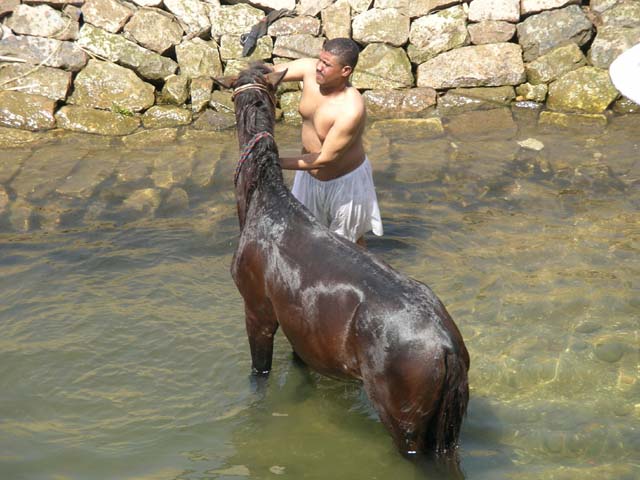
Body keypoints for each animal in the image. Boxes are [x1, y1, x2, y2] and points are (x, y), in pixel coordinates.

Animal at [215, 62, 470, 474]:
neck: (266, 203)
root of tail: (445, 345)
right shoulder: (301, 326)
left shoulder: (257, 310)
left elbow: (260, 373)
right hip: (445, 428)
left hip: (404, 420)